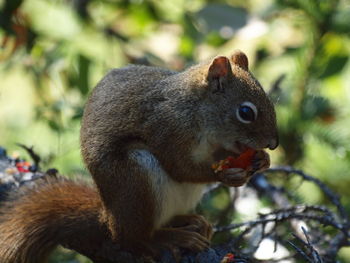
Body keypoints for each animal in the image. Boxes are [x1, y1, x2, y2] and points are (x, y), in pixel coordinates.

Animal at [0, 50, 278, 262]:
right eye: (246, 112)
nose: (274, 144)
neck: (194, 108)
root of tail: (109, 216)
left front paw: (262, 160)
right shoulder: (166, 129)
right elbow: (179, 167)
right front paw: (227, 176)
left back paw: (191, 221)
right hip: (136, 177)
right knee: (133, 238)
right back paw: (169, 238)